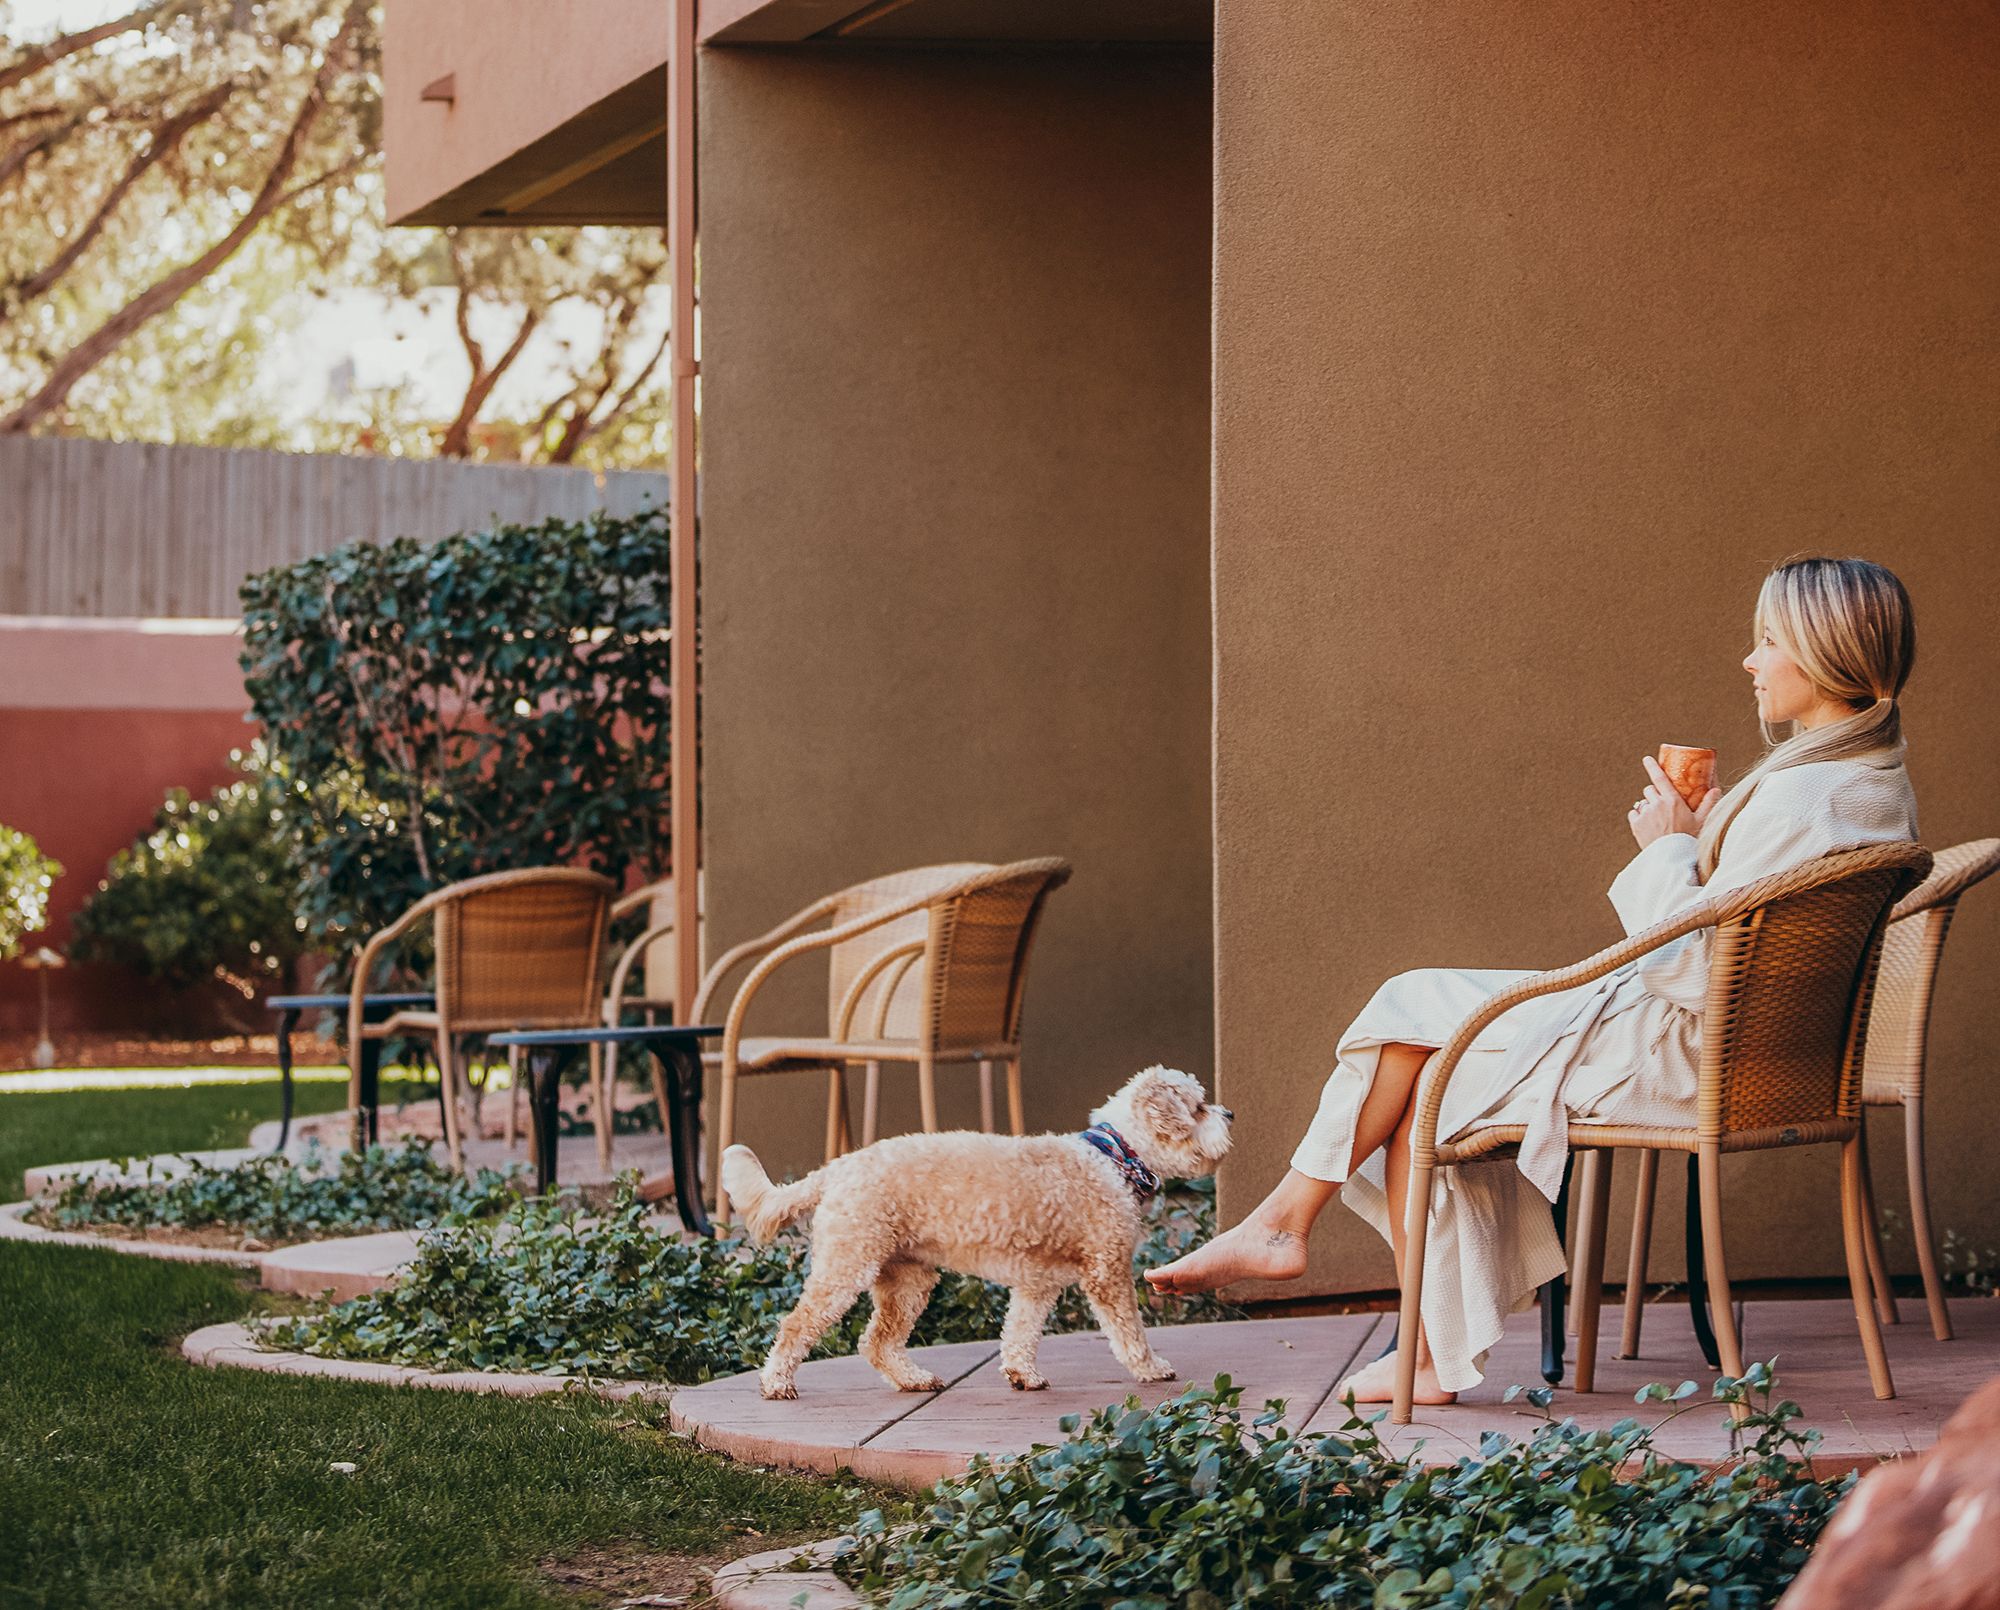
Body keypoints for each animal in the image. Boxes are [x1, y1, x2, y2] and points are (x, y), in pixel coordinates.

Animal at [720, 1064, 1216, 1392]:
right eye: (1198, 1107)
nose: (1227, 1115)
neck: (1114, 1157)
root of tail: (838, 1167)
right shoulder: (1107, 1272)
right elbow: (1129, 1332)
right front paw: (1151, 1368)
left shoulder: (1037, 1285)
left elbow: (1020, 1332)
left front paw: (1022, 1374)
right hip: (847, 1269)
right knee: (795, 1326)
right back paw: (776, 1382)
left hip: (908, 1281)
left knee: (877, 1341)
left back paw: (913, 1379)